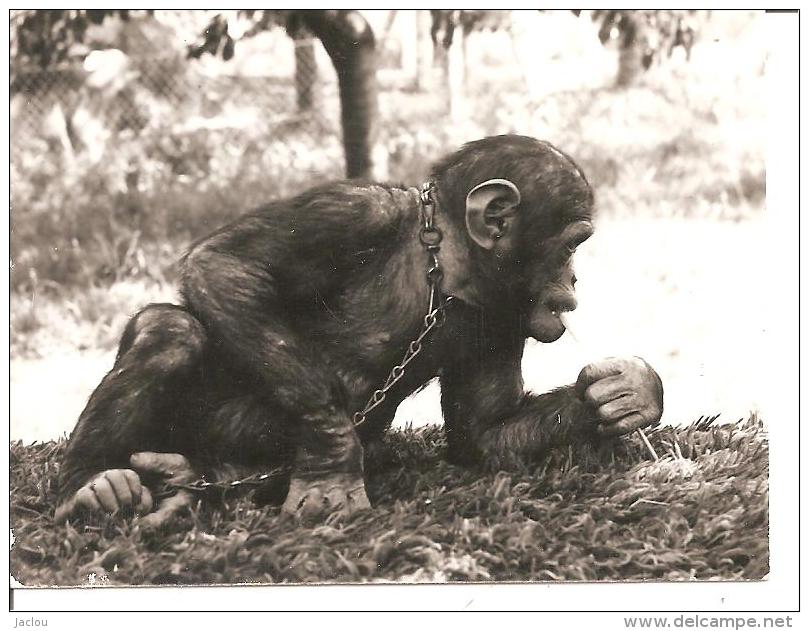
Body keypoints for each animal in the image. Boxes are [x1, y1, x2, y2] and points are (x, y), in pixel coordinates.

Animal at [55, 136, 664, 524]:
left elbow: (485, 433)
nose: (575, 276)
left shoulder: (502, 318)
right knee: (171, 328)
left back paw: (187, 482)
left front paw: (625, 391)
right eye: (572, 244)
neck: (444, 268)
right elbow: (226, 264)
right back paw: (91, 482)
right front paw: (332, 464)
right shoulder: (349, 211)